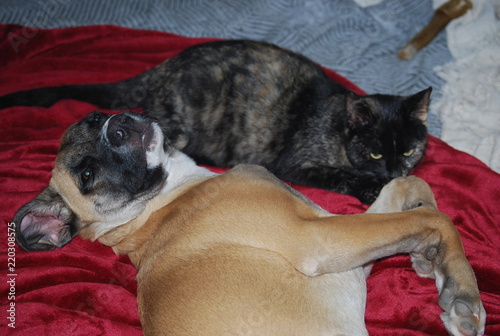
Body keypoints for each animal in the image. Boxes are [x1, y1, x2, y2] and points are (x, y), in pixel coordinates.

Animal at [0, 39, 430, 202]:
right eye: (375, 155)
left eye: (409, 151)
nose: (395, 172)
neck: (339, 130)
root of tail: (157, 71)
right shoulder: (295, 163)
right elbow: (338, 175)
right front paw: (372, 188)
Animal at [14, 111, 484, 334]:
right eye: (86, 175)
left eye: (95, 119)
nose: (117, 126)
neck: (161, 202)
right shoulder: (320, 236)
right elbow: (436, 217)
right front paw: (462, 295)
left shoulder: (341, 238)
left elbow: (411, 184)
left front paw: (430, 262)